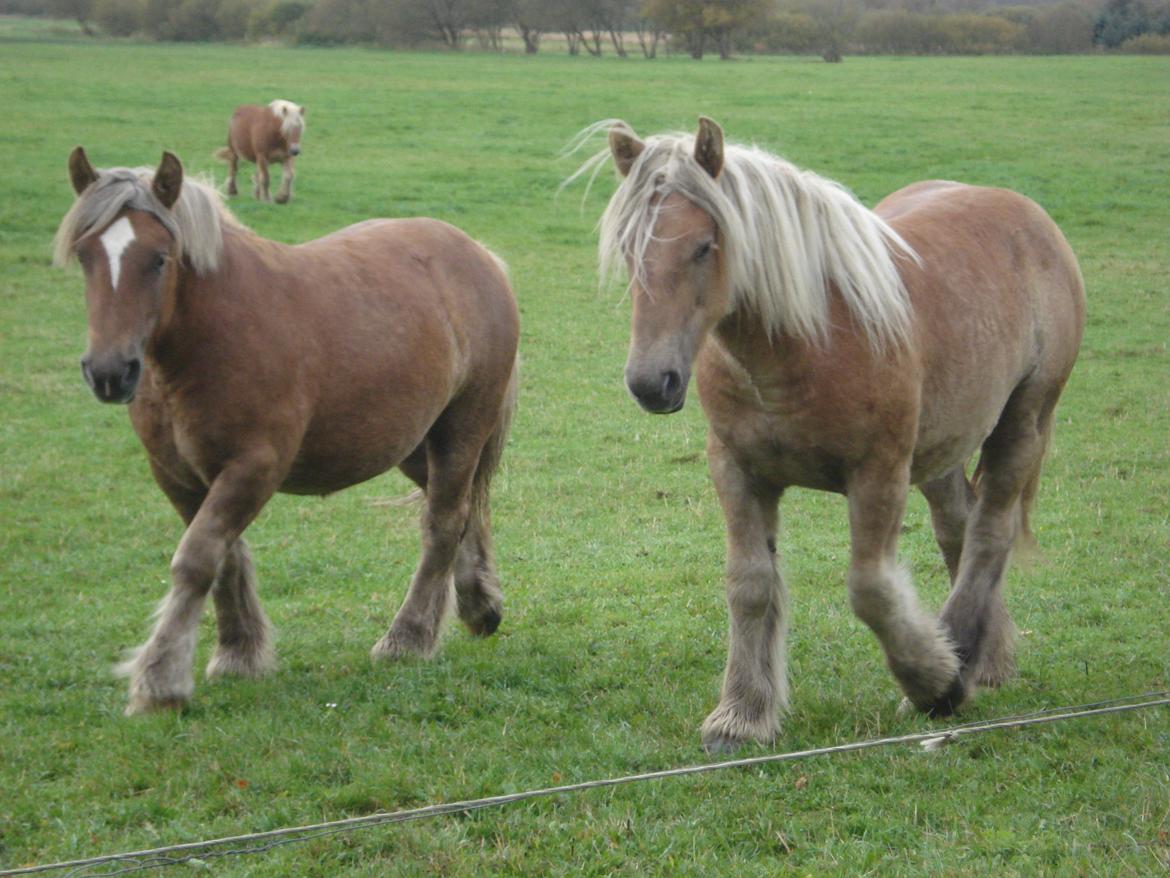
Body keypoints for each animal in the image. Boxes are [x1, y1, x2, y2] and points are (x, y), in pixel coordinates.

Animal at [53, 148, 521, 716]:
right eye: (85, 255)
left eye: (159, 258)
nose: (108, 372)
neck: (210, 337)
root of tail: (478, 254)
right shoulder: (179, 476)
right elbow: (224, 560)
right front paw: (238, 651)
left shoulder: (253, 468)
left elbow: (196, 560)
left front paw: (160, 680)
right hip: (413, 443)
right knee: (463, 509)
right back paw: (479, 605)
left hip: (461, 429)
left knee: (444, 522)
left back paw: (408, 637)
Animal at [585, 115, 1085, 749]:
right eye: (629, 250)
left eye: (704, 246)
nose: (653, 382)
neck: (807, 343)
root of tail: (1028, 215)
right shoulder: (738, 470)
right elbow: (751, 584)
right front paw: (742, 715)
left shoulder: (879, 474)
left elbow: (871, 590)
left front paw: (933, 685)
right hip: (943, 450)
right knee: (958, 530)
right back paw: (982, 659)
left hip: (1024, 420)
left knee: (989, 533)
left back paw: (958, 658)